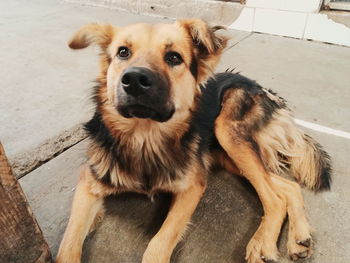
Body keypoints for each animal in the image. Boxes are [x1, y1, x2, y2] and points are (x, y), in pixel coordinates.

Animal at [54, 19, 330, 263]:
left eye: (174, 57)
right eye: (123, 52)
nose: (134, 81)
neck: (145, 136)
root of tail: (262, 88)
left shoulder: (193, 186)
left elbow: (158, 245)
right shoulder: (88, 183)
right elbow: (67, 248)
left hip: (227, 132)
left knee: (274, 198)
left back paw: (262, 246)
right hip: (225, 155)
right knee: (287, 187)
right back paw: (298, 238)